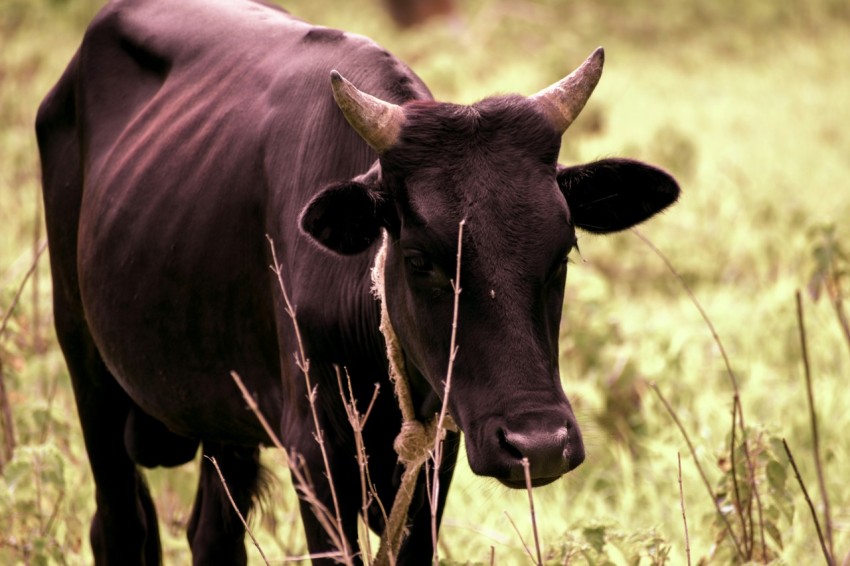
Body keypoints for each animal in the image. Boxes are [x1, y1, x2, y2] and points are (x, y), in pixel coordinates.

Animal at [36, 0, 679, 563]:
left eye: (563, 253)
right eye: (419, 260)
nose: (538, 445)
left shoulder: (436, 453)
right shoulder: (315, 453)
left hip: (222, 408)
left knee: (211, 536)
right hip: (85, 361)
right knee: (120, 527)